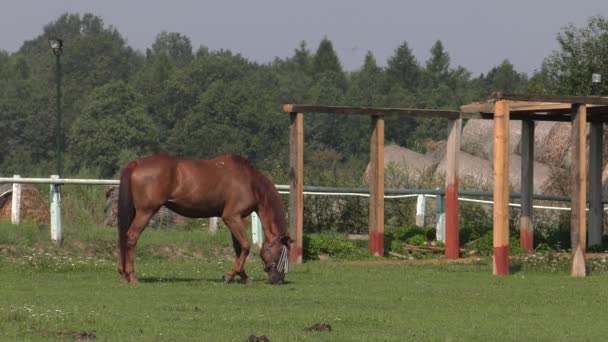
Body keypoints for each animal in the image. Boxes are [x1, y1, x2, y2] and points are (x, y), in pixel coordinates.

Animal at [119, 154, 292, 284]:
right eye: (282, 252)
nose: (279, 279)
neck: (249, 181)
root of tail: (136, 163)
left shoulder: (234, 220)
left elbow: (238, 248)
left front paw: (243, 276)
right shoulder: (232, 217)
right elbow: (245, 246)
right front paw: (230, 275)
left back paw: (123, 274)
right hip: (145, 212)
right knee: (132, 237)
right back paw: (132, 276)